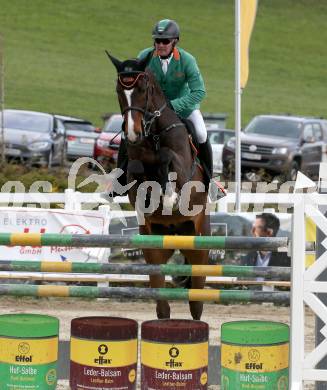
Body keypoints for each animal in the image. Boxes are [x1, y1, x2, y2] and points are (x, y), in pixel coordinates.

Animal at [106, 51, 211, 320]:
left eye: (143, 89)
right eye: (119, 90)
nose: (133, 133)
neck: (152, 132)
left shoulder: (183, 168)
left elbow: (167, 158)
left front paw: (170, 197)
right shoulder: (134, 166)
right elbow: (138, 172)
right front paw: (153, 198)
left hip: (199, 244)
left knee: (197, 301)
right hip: (154, 247)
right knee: (161, 301)